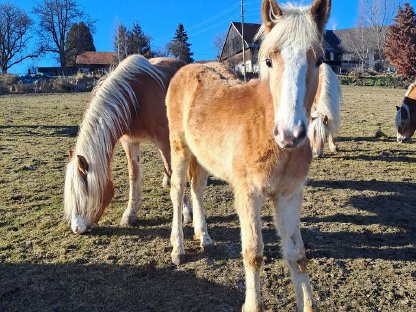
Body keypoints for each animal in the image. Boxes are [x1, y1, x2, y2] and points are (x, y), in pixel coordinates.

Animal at [63, 54, 193, 234]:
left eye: (84, 194)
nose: (77, 228)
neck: (135, 99)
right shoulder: (130, 142)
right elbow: (134, 175)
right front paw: (130, 214)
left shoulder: (165, 140)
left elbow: (175, 174)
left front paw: (186, 212)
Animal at [166, 0, 332, 310]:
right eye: (268, 61)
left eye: (318, 60)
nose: (290, 133)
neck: (266, 131)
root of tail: (186, 69)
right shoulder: (248, 193)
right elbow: (253, 253)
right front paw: (252, 304)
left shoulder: (290, 195)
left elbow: (297, 254)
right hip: (179, 148)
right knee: (178, 190)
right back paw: (178, 248)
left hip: (203, 157)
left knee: (197, 189)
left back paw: (204, 236)